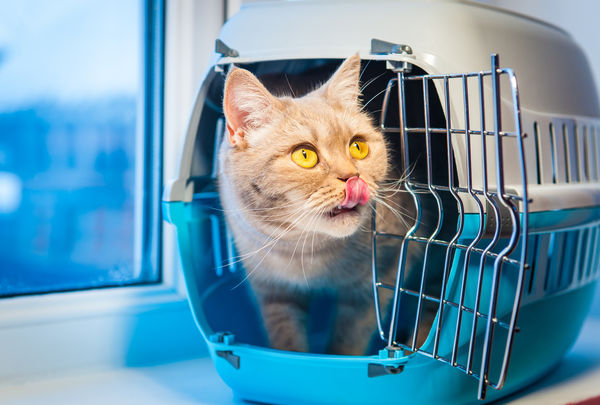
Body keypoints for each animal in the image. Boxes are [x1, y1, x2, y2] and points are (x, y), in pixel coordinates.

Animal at [218, 54, 420, 354]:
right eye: (305, 155)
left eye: (358, 146)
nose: (352, 178)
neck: (305, 250)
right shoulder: (274, 293)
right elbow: (287, 340)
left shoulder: (378, 281)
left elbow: (348, 340)